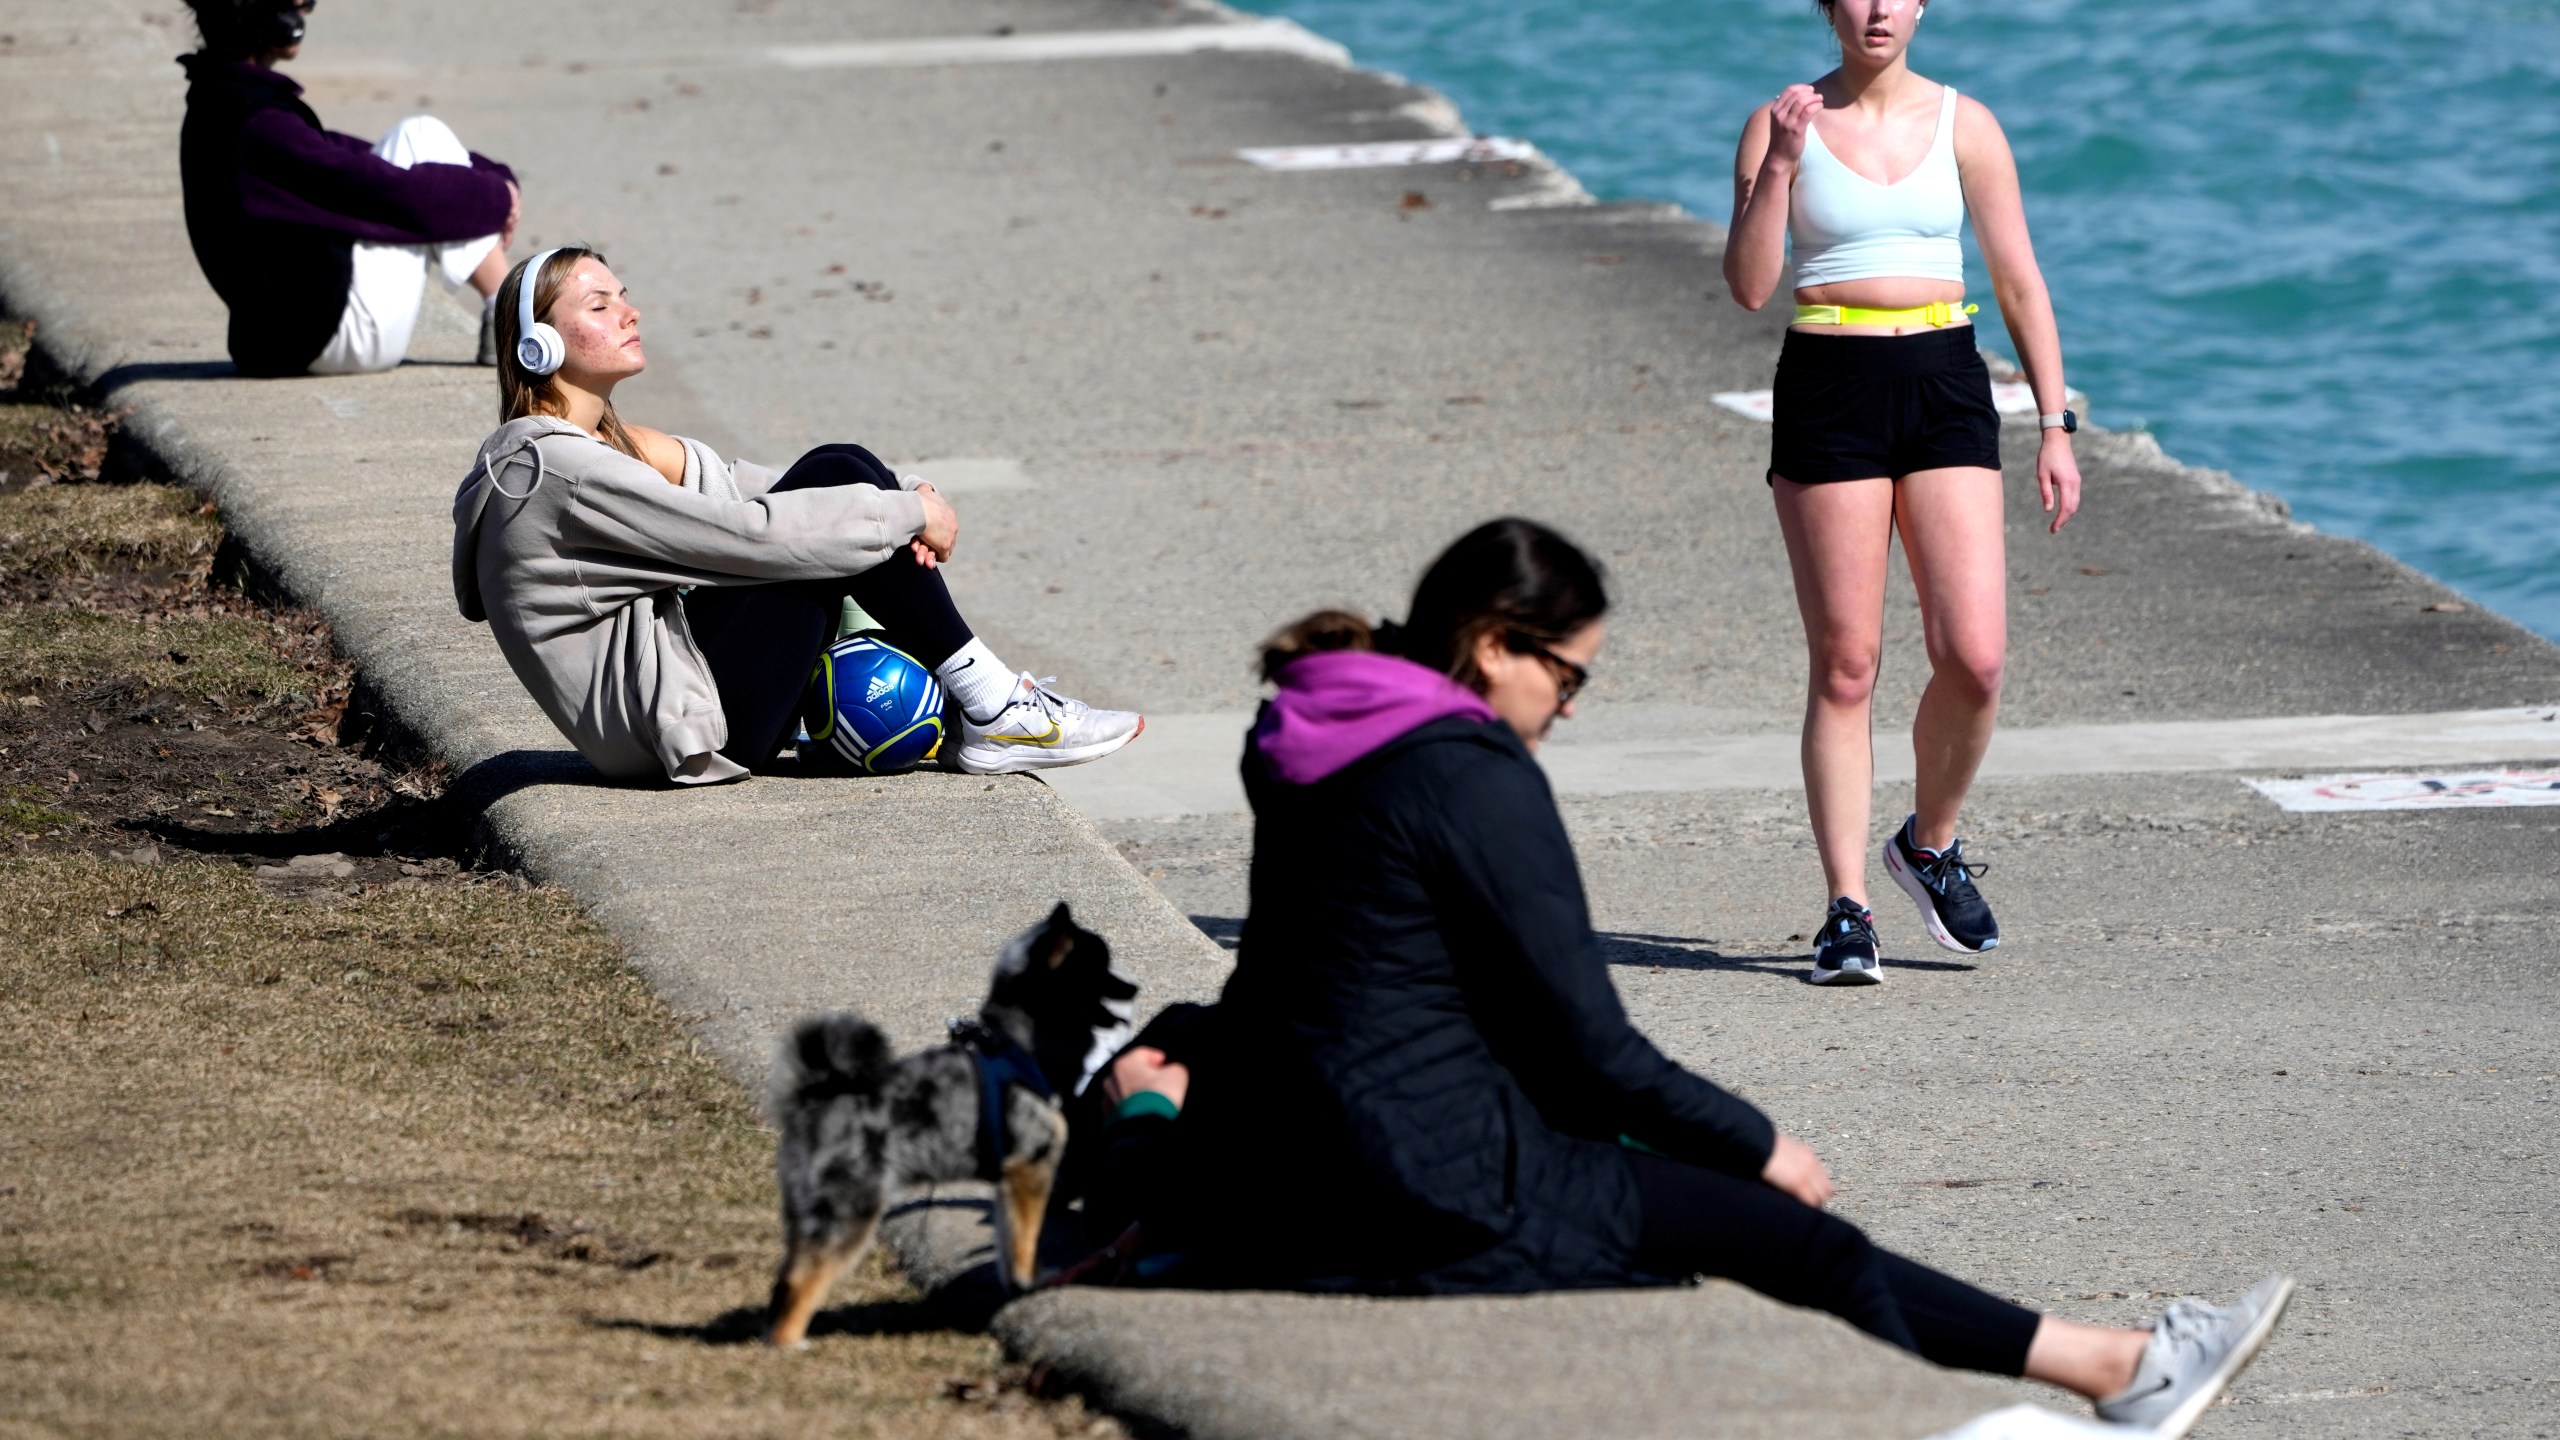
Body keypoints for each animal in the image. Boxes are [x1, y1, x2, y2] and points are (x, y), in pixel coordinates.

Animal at [762, 901, 1136, 1342]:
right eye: (1102, 965)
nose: (1133, 987)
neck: (1017, 1045)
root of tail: (813, 1102)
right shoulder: (1032, 1166)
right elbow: (1026, 1239)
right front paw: (1031, 1280)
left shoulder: (1010, 1179)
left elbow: (1010, 1238)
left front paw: (1016, 1281)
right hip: (850, 1209)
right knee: (800, 1282)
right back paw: (787, 1343)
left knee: (785, 1276)